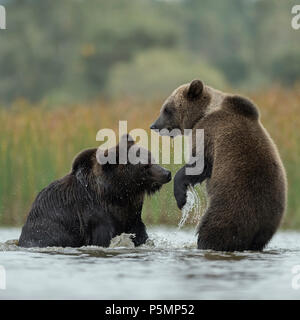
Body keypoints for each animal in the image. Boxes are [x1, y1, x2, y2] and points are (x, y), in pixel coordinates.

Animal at [18, 135, 171, 248]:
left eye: (153, 158)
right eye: (145, 166)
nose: (167, 173)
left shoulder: (132, 214)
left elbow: (139, 234)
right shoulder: (95, 215)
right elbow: (103, 238)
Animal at [151, 79, 288, 251]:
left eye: (167, 109)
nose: (154, 125)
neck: (202, 113)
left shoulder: (208, 133)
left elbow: (199, 165)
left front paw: (181, 197)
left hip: (232, 207)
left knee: (214, 230)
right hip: (268, 222)